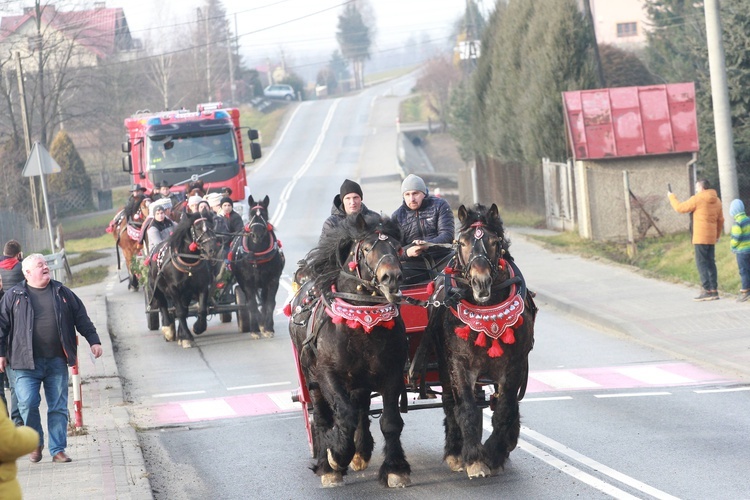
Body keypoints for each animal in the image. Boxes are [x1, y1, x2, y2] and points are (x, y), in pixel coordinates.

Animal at [148, 211, 220, 348]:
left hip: (185, 293)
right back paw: (168, 329)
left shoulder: (201, 287)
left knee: (184, 309)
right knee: (163, 305)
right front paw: (186, 337)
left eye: (212, 226)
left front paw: (197, 327)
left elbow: (201, 309)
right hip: (156, 288)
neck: (188, 261)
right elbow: (180, 312)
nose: (213, 250)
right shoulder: (173, 289)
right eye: (197, 228)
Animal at [231, 193, 286, 338]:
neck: (257, 255)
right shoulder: (247, 283)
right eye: (251, 215)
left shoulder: (273, 280)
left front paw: (268, 328)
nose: (257, 235)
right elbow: (252, 305)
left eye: (264, 215)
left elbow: (270, 303)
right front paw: (255, 330)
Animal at [290, 212, 414, 488]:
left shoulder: (391, 373)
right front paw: (336, 457)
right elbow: (344, 416)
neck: (363, 319)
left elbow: (390, 421)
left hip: (360, 381)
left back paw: (361, 451)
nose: (392, 277)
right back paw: (327, 464)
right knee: (323, 417)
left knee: (361, 408)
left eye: (398, 247)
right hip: (312, 379)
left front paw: (395, 468)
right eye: (367, 248)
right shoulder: (328, 375)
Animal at [428, 205, 536, 478]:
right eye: (463, 242)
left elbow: (504, 408)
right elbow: (467, 409)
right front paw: (475, 459)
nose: (481, 282)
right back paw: (456, 452)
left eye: (495, 242)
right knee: (450, 403)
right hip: (444, 367)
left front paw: (495, 453)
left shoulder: (514, 364)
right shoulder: (459, 363)